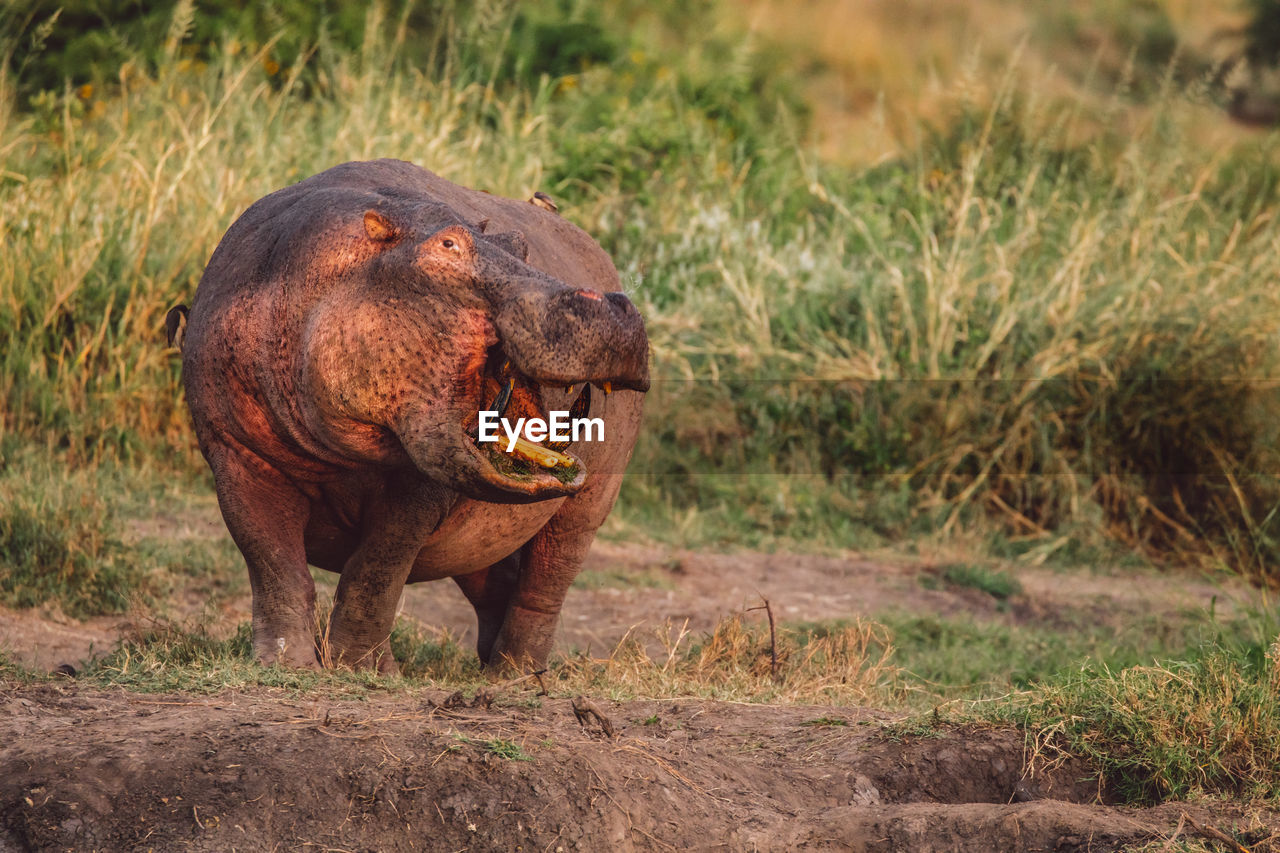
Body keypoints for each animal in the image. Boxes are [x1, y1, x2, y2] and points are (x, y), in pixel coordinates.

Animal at [172, 159, 650, 671]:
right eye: (448, 245)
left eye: (519, 245)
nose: (611, 303)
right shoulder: (236, 457)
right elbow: (273, 565)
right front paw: (285, 664)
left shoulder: (420, 484)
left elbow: (376, 571)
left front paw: (360, 667)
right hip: (483, 539)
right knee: (497, 581)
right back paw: (492, 666)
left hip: (589, 504)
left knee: (545, 584)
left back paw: (516, 676)